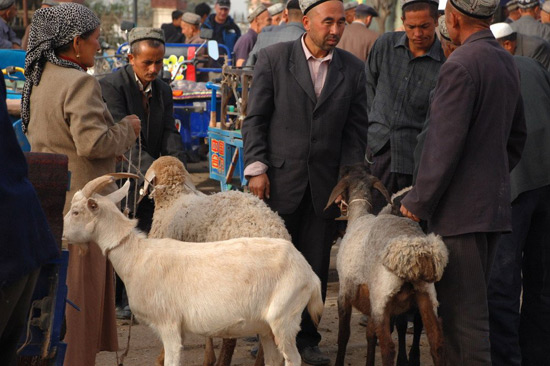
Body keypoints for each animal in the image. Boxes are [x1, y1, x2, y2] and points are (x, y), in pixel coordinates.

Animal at [63, 174, 326, 366]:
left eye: (76, 211)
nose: (62, 235)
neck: (137, 257)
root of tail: (309, 273)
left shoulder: (168, 324)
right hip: (267, 327)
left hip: (284, 318)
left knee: (293, 359)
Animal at [328, 165, 448, 366]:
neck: (360, 216)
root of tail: (414, 253)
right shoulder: (369, 300)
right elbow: (370, 334)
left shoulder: (345, 291)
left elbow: (343, 335)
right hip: (426, 295)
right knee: (436, 342)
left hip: (382, 296)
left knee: (388, 347)